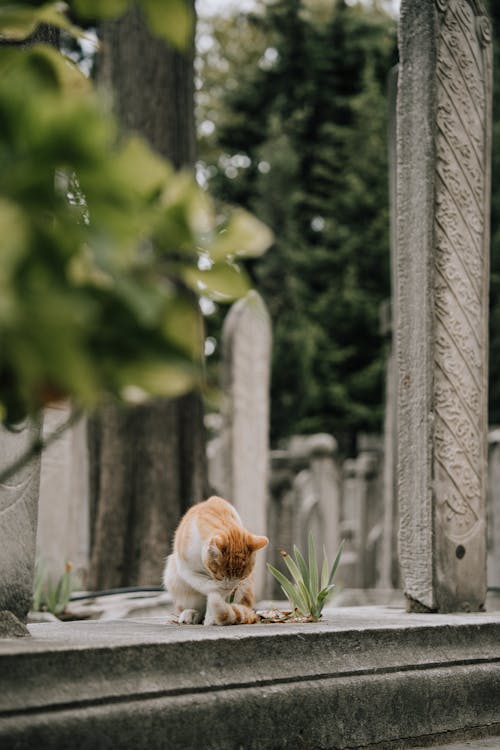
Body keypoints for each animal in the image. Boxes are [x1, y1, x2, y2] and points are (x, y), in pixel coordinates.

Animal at [164, 496, 268, 624]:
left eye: (242, 576)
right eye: (220, 576)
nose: (229, 588)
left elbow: (217, 600)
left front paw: (212, 618)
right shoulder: (186, 569)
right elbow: (205, 585)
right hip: (173, 577)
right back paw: (191, 614)